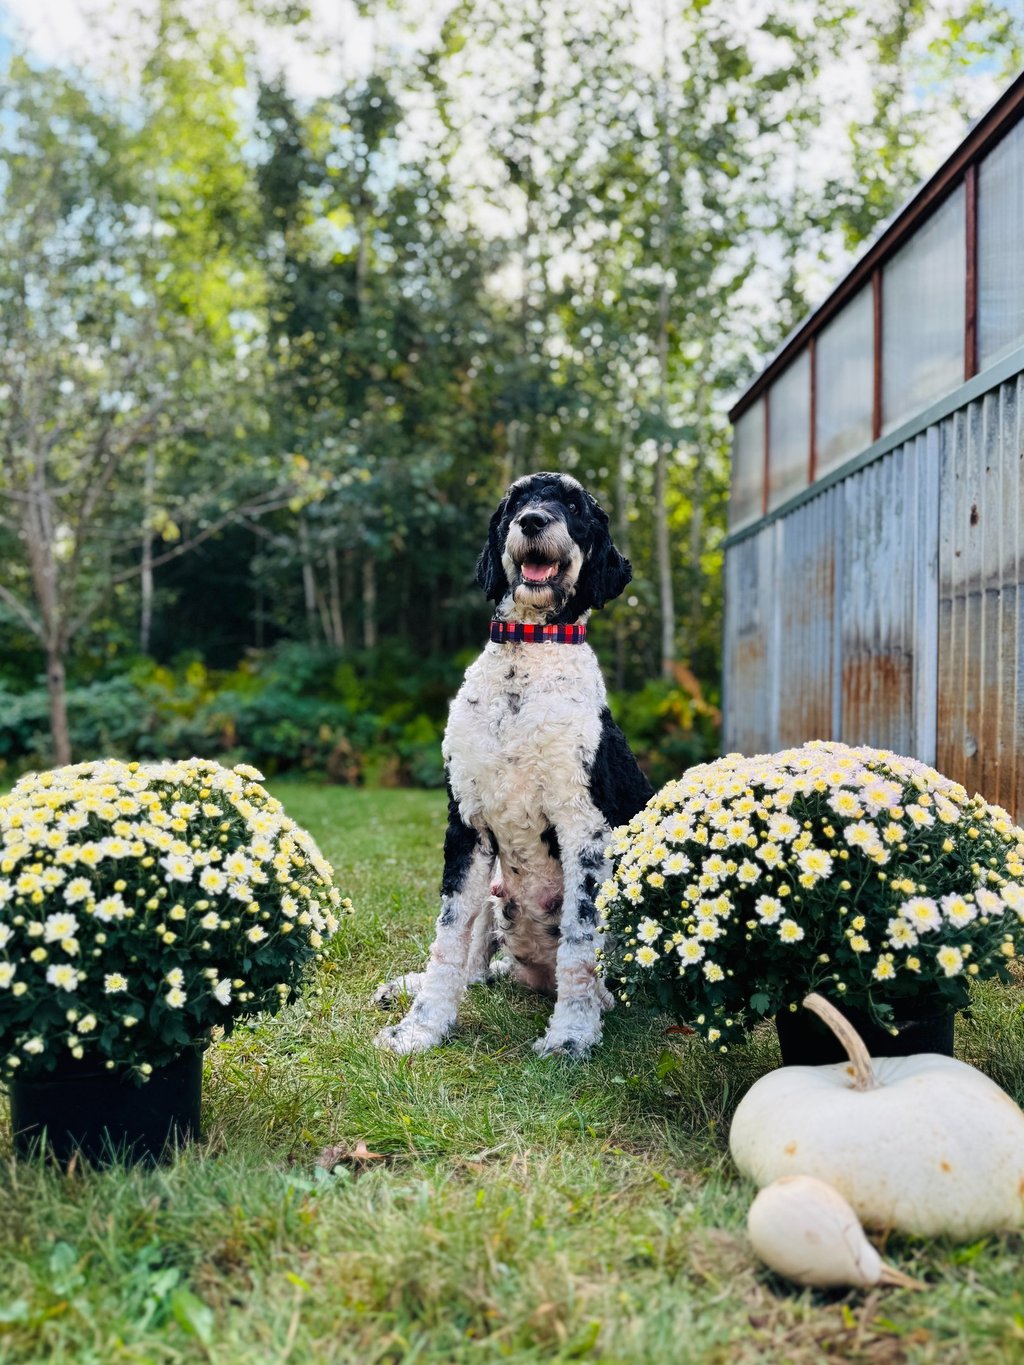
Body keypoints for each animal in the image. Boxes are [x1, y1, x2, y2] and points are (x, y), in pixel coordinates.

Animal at [374, 470, 653, 1058]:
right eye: (513, 503)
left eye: (574, 506)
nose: (533, 521)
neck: (526, 661)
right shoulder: (466, 823)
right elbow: (448, 936)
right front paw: (421, 1027)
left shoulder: (585, 830)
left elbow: (579, 943)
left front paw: (570, 1036)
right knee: (477, 965)